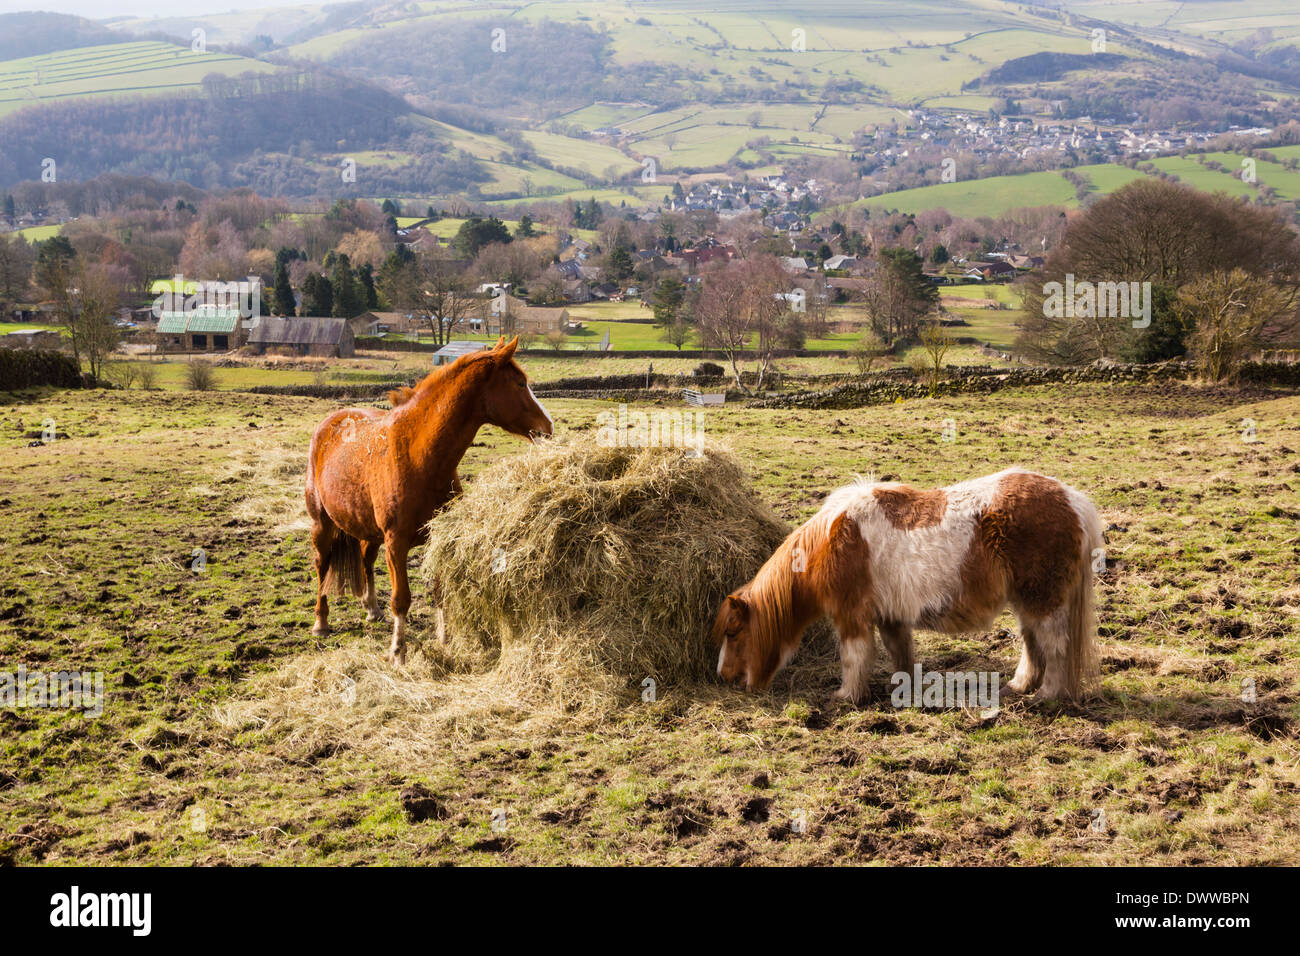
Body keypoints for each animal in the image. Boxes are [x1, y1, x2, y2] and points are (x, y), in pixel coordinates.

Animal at [305, 338, 553, 665]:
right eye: (520, 383)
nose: (548, 428)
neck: (417, 455)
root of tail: (328, 426)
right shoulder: (396, 543)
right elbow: (401, 599)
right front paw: (398, 652)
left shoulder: (437, 536)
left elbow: (439, 591)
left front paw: (444, 640)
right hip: (322, 524)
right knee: (322, 565)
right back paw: (321, 622)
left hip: (368, 529)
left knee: (366, 559)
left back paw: (372, 608)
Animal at [717, 468, 1102, 702]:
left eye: (733, 633)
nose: (723, 676)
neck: (829, 541)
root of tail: (1072, 499)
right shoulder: (890, 616)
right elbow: (899, 651)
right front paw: (903, 687)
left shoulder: (851, 615)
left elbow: (854, 656)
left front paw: (846, 697)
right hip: (1026, 601)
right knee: (1033, 644)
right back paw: (1018, 686)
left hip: (1045, 601)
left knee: (1055, 646)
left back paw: (1046, 695)